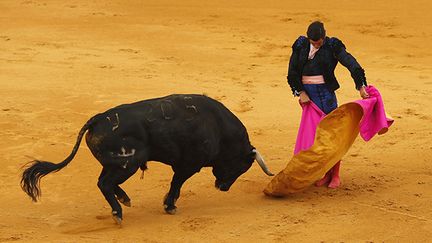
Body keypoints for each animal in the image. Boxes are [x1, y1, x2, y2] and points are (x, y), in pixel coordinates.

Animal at [21, 93, 274, 224]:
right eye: (241, 166)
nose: (223, 187)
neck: (219, 129)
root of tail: (98, 118)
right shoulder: (188, 165)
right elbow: (176, 184)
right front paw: (169, 206)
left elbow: (175, 185)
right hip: (126, 165)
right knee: (105, 184)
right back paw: (118, 212)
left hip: (117, 164)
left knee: (105, 183)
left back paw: (124, 200)